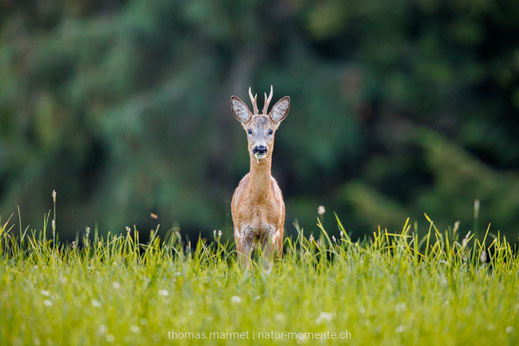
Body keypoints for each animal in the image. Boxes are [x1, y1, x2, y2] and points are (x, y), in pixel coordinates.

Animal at [230, 86, 290, 268]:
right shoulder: (242, 231)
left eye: (270, 131)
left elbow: (267, 268)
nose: (260, 148)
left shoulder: (271, 232)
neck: (258, 205)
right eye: (250, 130)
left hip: (280, 231)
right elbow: (244, 268)